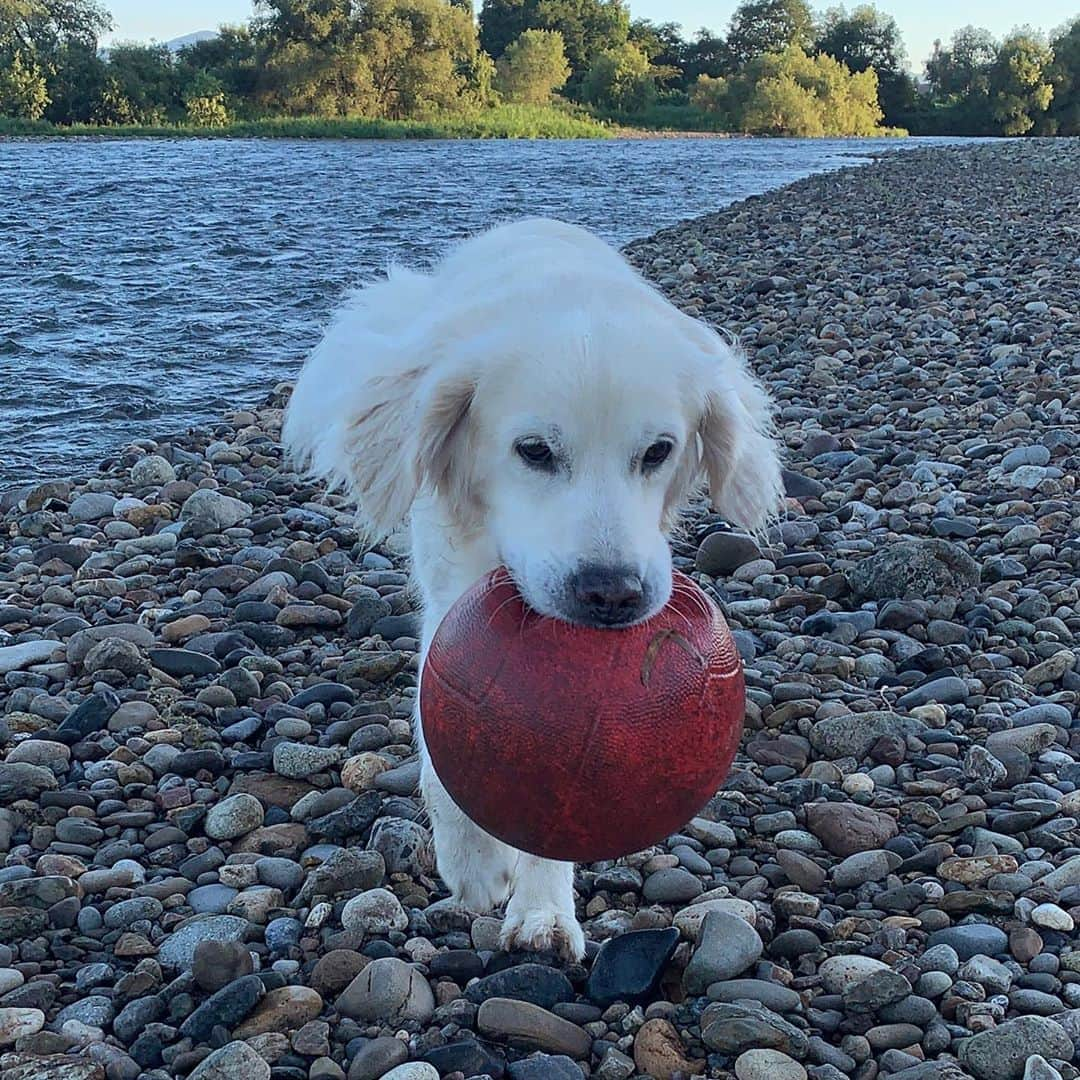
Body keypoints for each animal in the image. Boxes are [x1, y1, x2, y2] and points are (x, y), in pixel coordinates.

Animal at [282, 214, 781, 959]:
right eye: (535, 451)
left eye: (658, 451)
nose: (612, 593)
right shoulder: (450, 600)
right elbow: (444, 754)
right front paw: (474, 865)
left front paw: (543, 912)